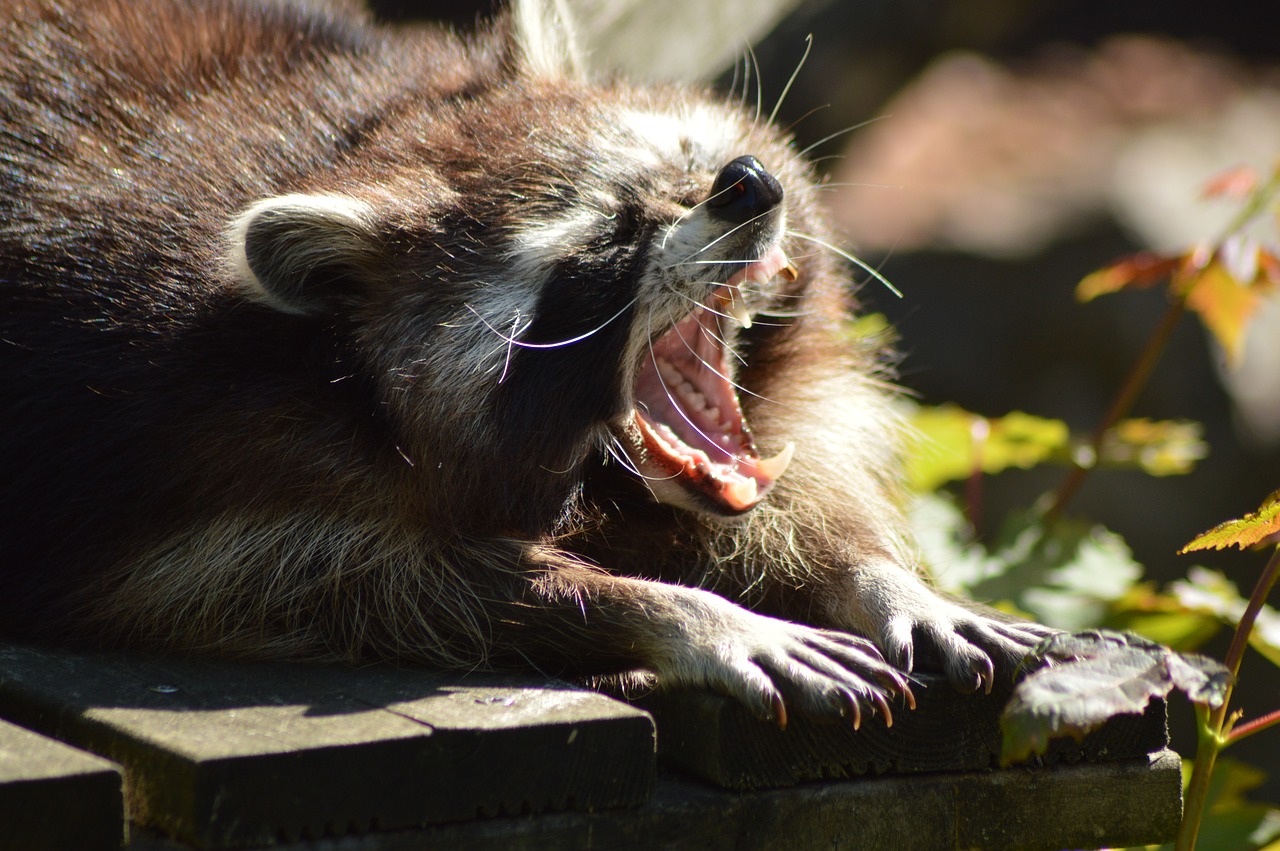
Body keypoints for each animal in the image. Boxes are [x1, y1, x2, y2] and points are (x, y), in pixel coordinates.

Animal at [0, 0, 1049, 721]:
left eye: (693, 162)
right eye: (605, 240)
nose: (748, 187)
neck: (358, 136)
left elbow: (808, 466)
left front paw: (876, 575)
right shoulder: (178, 443)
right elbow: (316, 578)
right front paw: (666, 608)